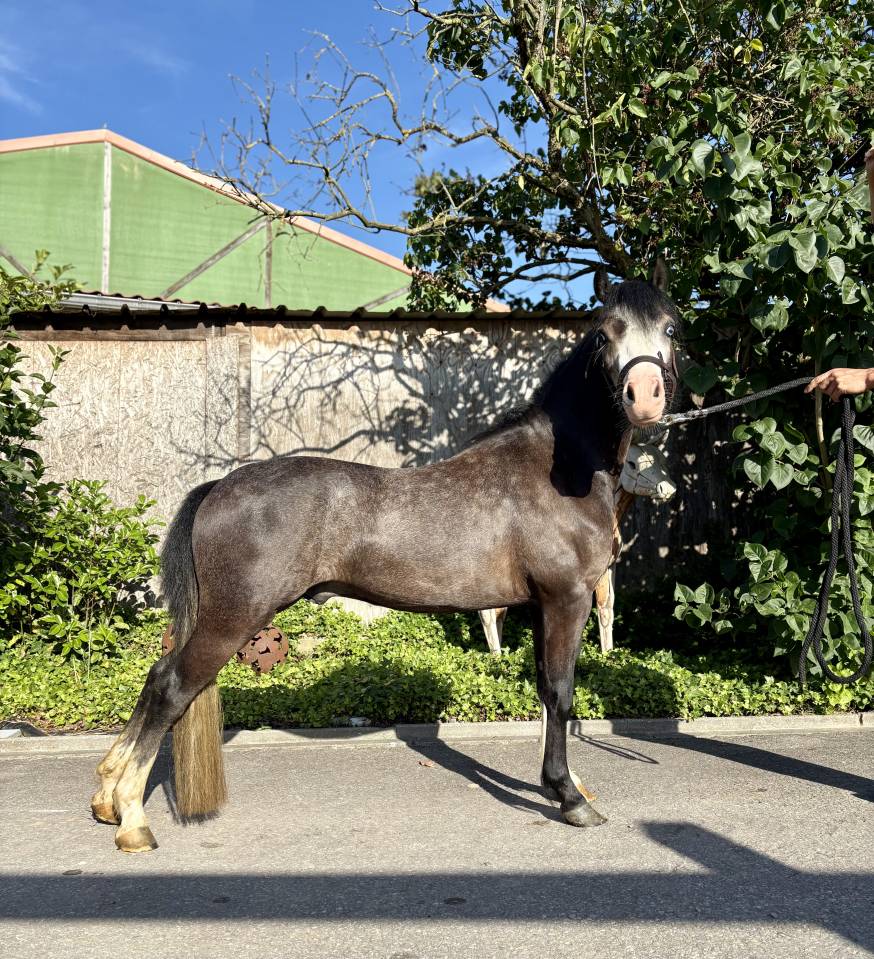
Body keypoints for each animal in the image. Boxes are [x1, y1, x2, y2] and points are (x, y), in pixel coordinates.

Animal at [90, 261, 679, 852]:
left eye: (670, 328)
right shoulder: (567, 599)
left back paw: (106, 798)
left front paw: (566, 784)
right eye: (605, 333)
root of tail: (220, 486)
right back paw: (133, 819)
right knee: (171, 686)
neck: (559, 470)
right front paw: (572, 799)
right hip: (234, 616)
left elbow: (542, 688)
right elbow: (561, 693)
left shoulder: (540, 606)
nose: (644, 397)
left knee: (156, 678)